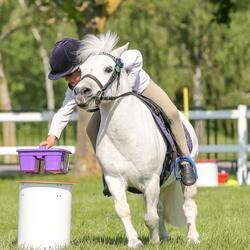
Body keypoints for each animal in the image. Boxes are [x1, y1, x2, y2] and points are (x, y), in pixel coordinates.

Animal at [73, 32, 199, 248]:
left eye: (108, 69)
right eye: (81, 70)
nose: (81, 92)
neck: (124, 135)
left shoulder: (150, 180)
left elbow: (150, 217)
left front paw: (154, 241)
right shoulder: (115, 180)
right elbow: (124, 210)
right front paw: (135, 242)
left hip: (183, 177)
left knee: (188, 204)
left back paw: (192, 237)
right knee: (160, 207)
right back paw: (164, 236)